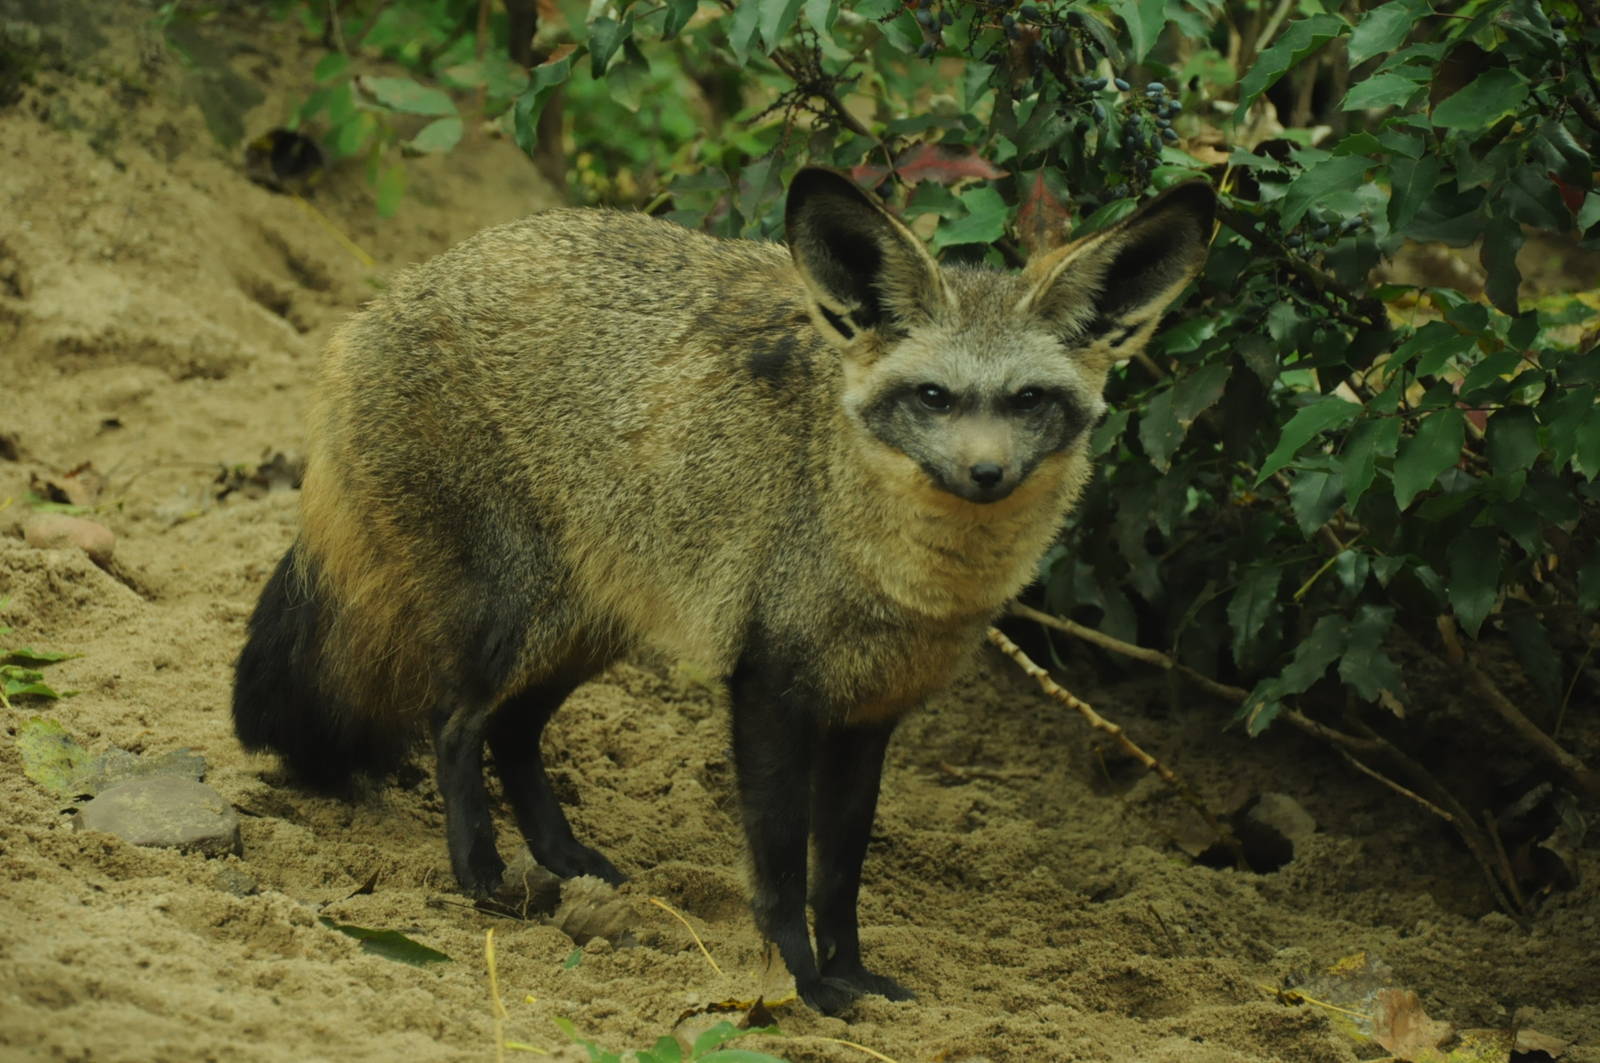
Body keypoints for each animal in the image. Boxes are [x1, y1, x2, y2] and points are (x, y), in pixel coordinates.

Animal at [232, 167, 1213, 1014]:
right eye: (934, 397)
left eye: (1028, 400)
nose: (986, 474)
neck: (892, 572)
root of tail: (383, 300)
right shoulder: (770, 687)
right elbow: (779, 871)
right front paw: (803, 984)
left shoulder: (869, 716)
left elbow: (840, 875)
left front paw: (852, 974)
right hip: (513, 621)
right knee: (452, 724)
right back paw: (480, 873)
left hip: (587, 629)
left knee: (513, 731)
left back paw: (567, 861)